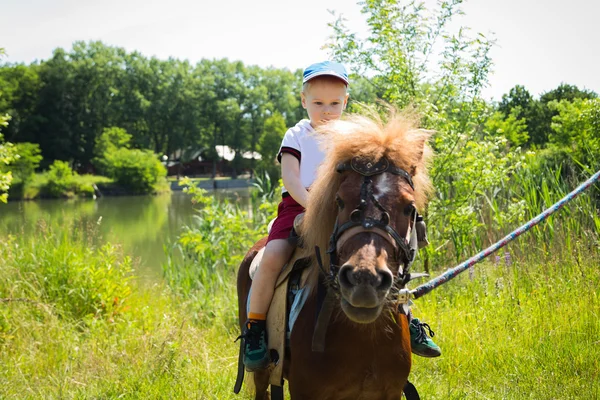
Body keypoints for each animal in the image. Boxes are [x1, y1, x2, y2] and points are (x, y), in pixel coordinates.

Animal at [237, 108, 434, 400]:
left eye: (409, 207)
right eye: (339, 201)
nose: (365, 281)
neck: (363, 336)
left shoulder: (389, 392)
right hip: (262, 373)